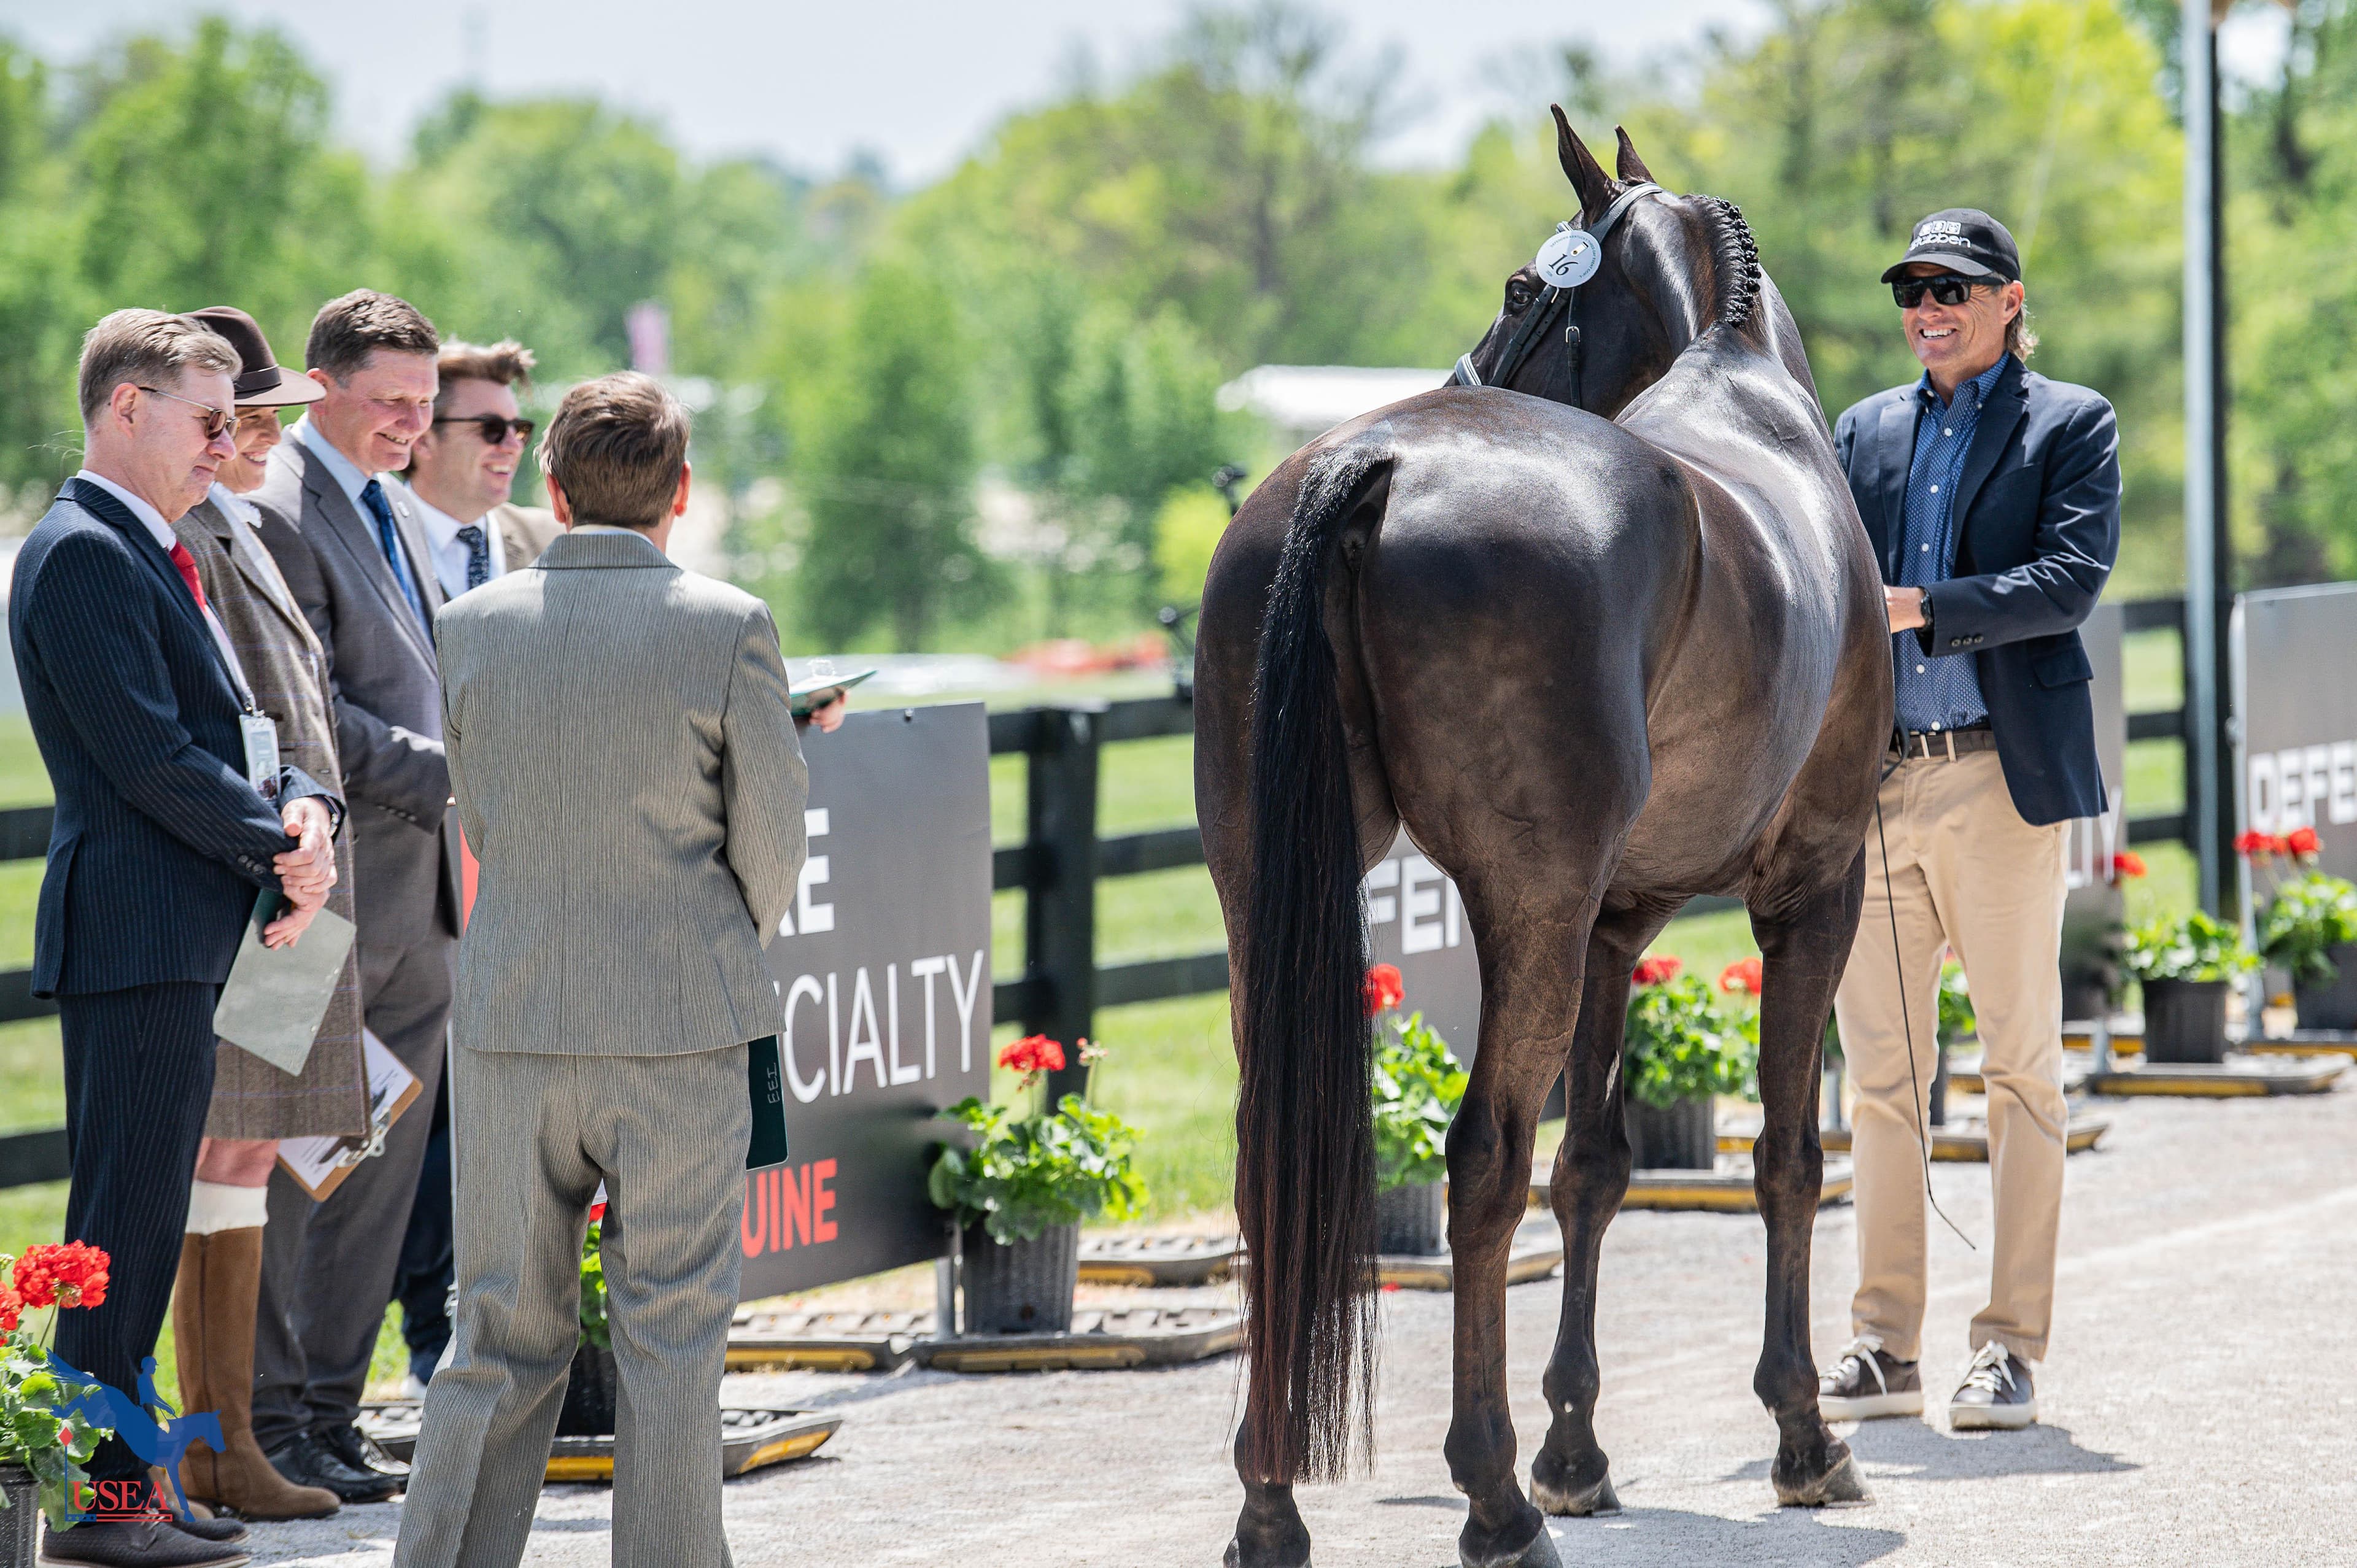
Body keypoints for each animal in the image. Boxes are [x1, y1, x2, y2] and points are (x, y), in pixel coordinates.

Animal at [1194, 111, 1893, 1568]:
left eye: (1524, 289)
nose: (1466, 360)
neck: (1741, 392)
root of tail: (1376, 467)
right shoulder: (1814, 887)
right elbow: (1788, 1156)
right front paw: (1803, 1432)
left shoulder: (1617, 923)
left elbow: (1598, 1168)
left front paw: (1581, 1445)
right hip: (1531, 910)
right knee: (1482, 1165)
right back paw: (1496, 1501)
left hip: (1275, 899)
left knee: (1273, 1164)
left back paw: (1274, 1505)